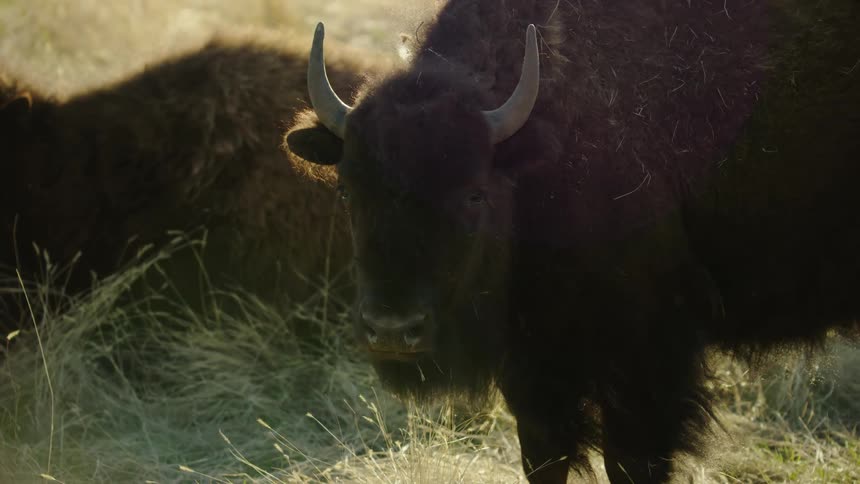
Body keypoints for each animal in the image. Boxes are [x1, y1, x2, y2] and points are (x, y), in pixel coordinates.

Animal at [285, 0, 860, 483]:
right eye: (346, 188)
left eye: (474, 193)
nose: (391, 329)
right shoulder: (534, 370)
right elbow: (545, 458)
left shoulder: (645, 363)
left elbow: (630, 463)